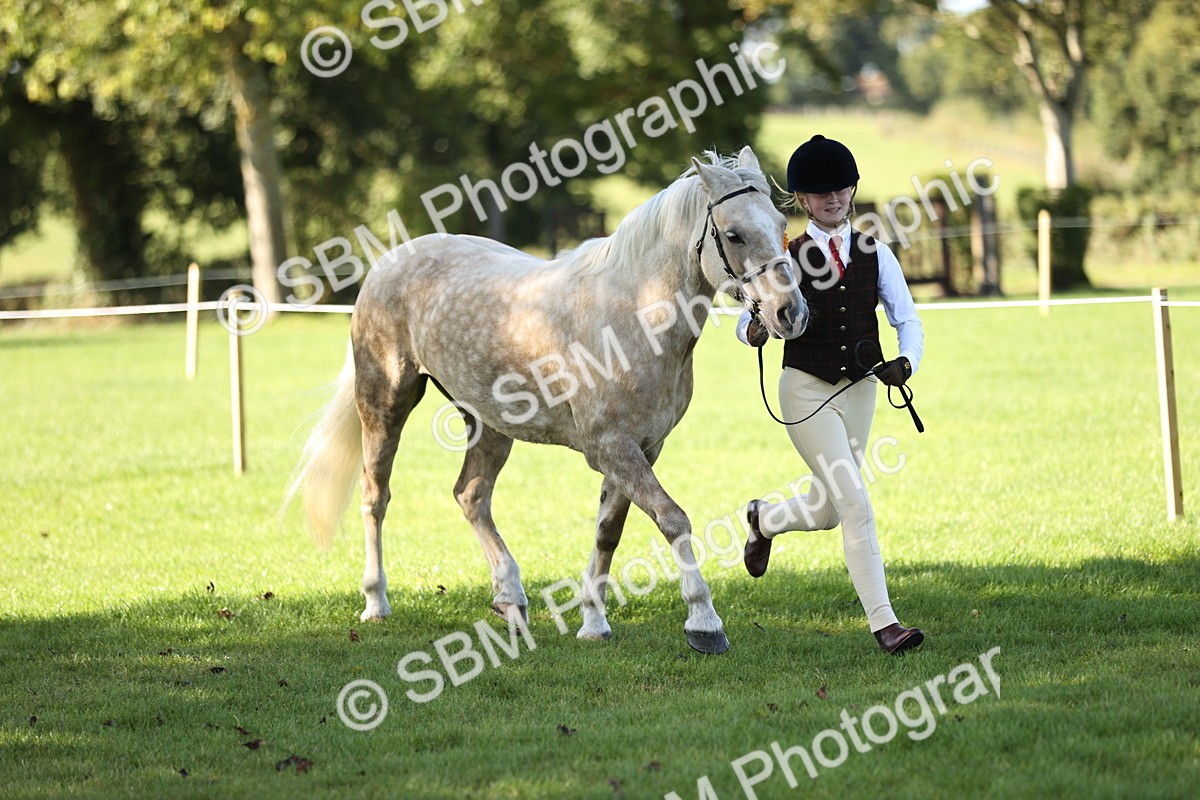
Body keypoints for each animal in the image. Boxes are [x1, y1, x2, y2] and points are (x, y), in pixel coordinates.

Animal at [289, 146, 807, 654]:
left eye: (781, 227)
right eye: (734, 235)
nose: (790, 313)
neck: (633, 314)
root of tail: (388, 261)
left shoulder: (640, 448)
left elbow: (608, 533)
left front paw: (594, 623)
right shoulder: (613, 448)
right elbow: (673, 520)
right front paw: (704, 622)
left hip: (489, 424)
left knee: (471, 495)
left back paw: (511, 599)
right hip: (384, 404)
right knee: (375, 496)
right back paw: (376, 601)